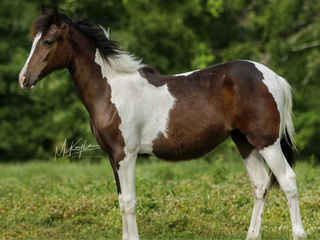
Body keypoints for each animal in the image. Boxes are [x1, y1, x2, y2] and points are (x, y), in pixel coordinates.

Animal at [18, 4, 308, 239]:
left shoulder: (126, 155)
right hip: (245, 142)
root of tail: (272, 76)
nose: (24, 79)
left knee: (288, 181)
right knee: (260, 185)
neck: (112, 89)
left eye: (48, 42)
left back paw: (299, 234)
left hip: (267, 142)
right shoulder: (112, 157)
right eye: (34, 41)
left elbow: (129, 201)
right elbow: (121, 200)